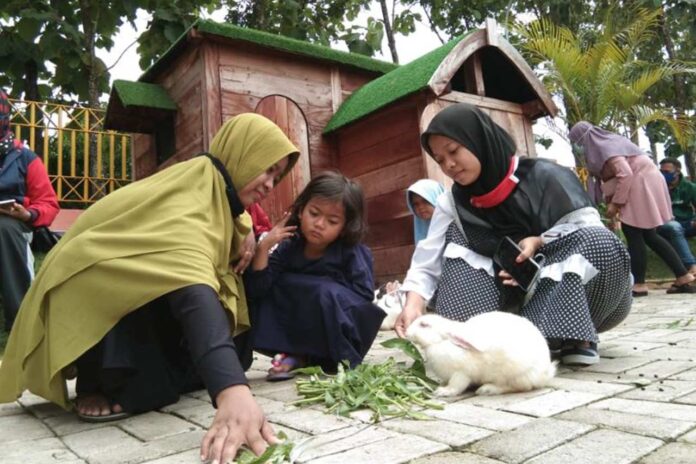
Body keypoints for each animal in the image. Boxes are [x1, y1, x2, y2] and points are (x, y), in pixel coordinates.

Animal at [406, 312, 556, 396]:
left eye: (424, 325)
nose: (407, 332)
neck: (440, 342)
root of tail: (546, 372)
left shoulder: (462, 373)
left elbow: (456, 386)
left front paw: (443, 391)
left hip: (515, 375)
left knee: (516, 387)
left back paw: (487, 390)